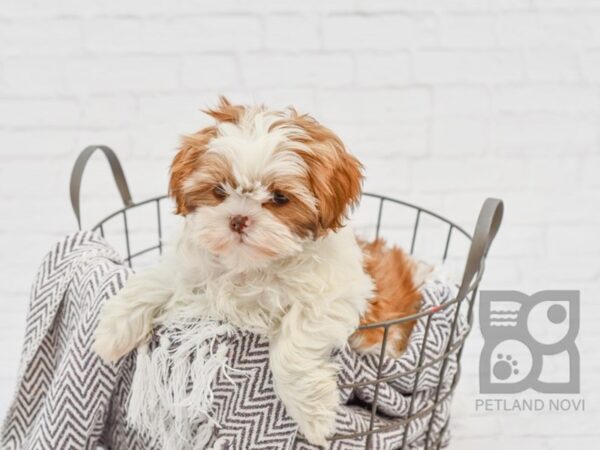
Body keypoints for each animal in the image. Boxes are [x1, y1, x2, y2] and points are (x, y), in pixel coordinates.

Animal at [92, 96, 422, 444]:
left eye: (279, 198)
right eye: (219, 191)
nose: (238, 219)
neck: (250, 266)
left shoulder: (340, 295)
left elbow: (294, 345)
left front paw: (314, 417)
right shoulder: (192, 266)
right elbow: (156, 279)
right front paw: (112, 333)